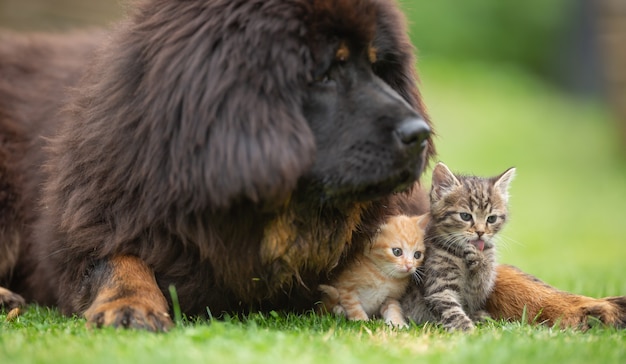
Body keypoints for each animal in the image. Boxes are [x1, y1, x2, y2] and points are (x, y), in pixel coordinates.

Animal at [402, 164, 516, 332]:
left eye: (491, 219)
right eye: (466, 216)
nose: (480, 232)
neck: (460, 254)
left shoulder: (477, 291)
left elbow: (481, 283)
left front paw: (479, 260)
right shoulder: (439, 286)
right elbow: (451, 309)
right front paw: (466, 329)